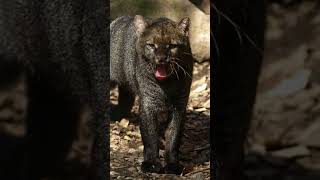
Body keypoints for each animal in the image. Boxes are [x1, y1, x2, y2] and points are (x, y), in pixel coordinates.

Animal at [110, 15, 194, 174]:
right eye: (151, 45)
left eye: (171, 45)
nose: (161, 58)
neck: (167, 85)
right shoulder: (149, 104)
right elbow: (150, 136)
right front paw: (151, 163)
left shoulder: (179, 106)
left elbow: (174, 137)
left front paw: (173, 165)